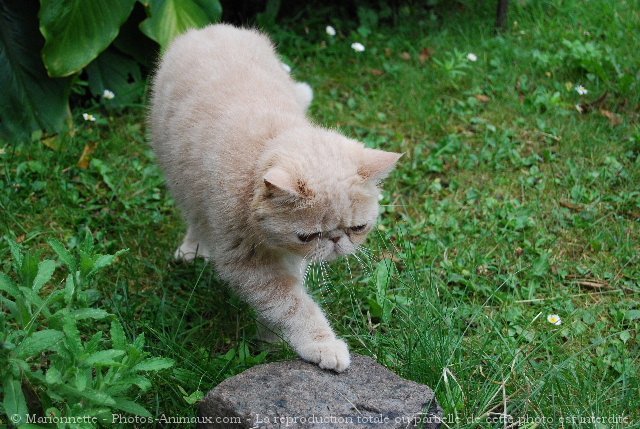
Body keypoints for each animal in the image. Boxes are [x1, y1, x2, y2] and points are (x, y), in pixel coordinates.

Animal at [150, 24, 400, 372]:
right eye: (309, 235)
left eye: (357, 228)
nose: (337, 240)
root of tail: (209, 29)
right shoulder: (249, 264)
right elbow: (292, 306)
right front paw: (321, 345)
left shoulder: (288, 260)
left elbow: (281, 304)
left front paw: (272, 341)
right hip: (179, 181)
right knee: (195, 217)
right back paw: (193, 248)